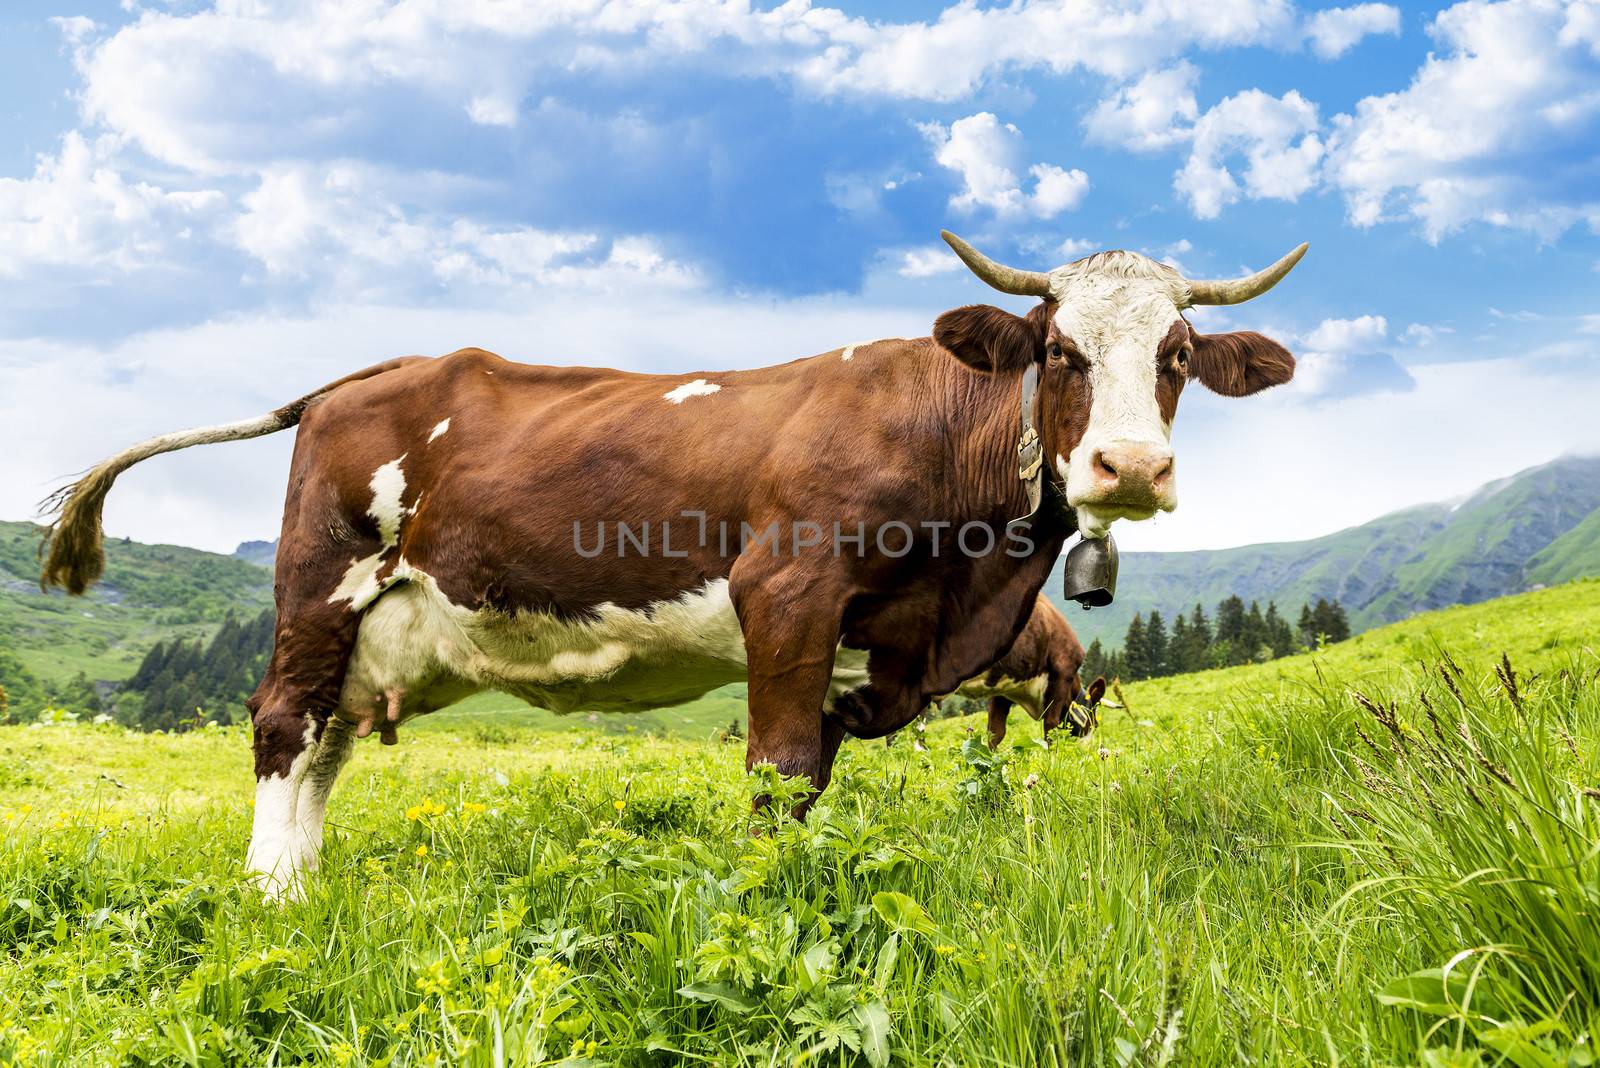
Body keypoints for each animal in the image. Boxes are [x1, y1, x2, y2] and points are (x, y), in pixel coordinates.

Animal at [940, 597, 1107, 748]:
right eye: (1094, 724)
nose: (1090, 749)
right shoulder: (1062, 674)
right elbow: (1051, 727)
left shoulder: (1002, 687)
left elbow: (995, 731)